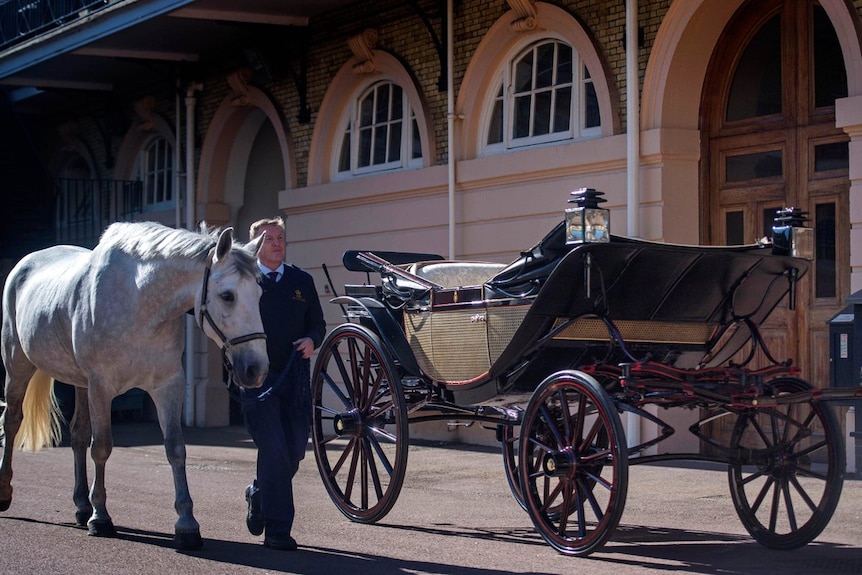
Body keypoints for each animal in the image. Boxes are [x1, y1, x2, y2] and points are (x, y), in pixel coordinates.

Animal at [0, 220, 270, 548]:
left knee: (77, 435)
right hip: (17, 366)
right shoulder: (101, 386)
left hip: (80, 383)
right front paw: (101, 518)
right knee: (12, 421)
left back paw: (81, 505)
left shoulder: (168, 386)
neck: (139, 302)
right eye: (228, 295)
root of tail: (25, 263)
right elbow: (102, 447)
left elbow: (175, 448)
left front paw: (187, 524)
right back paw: (6, 491)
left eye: (259, 294)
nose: (256, 369)